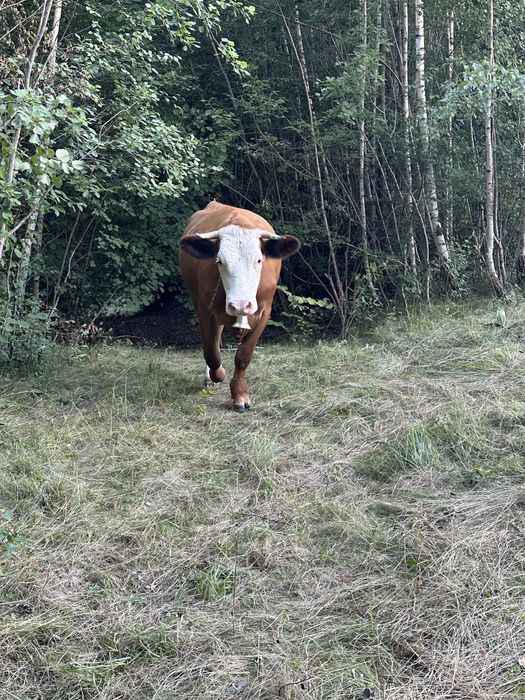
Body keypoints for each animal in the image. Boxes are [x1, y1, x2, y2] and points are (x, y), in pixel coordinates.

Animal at [179, 201, 301, 412]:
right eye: (219, 261)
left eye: (259, 260)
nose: (240, 305)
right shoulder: (204, 310)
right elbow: (211, 353)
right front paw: (218, 374)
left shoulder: (264, 311)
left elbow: (243, 356)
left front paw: (240, 395)